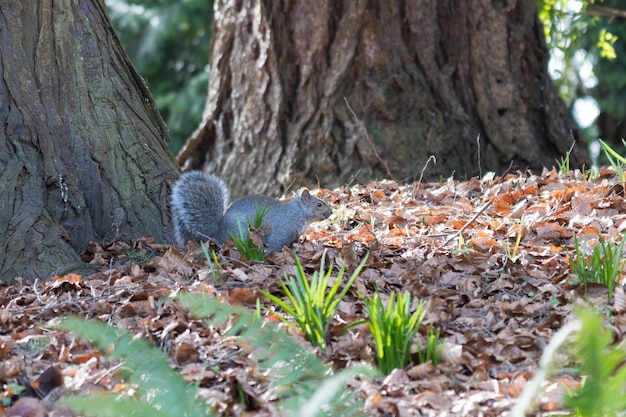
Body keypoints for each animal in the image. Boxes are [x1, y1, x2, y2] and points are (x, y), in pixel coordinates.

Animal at [166, 171, 332, 252]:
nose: (330, 212)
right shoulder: (284, 228)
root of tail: (217, 233)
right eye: (319, 204)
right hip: (241, 231)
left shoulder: (293, 235)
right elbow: (276, 243)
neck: (299, 212)